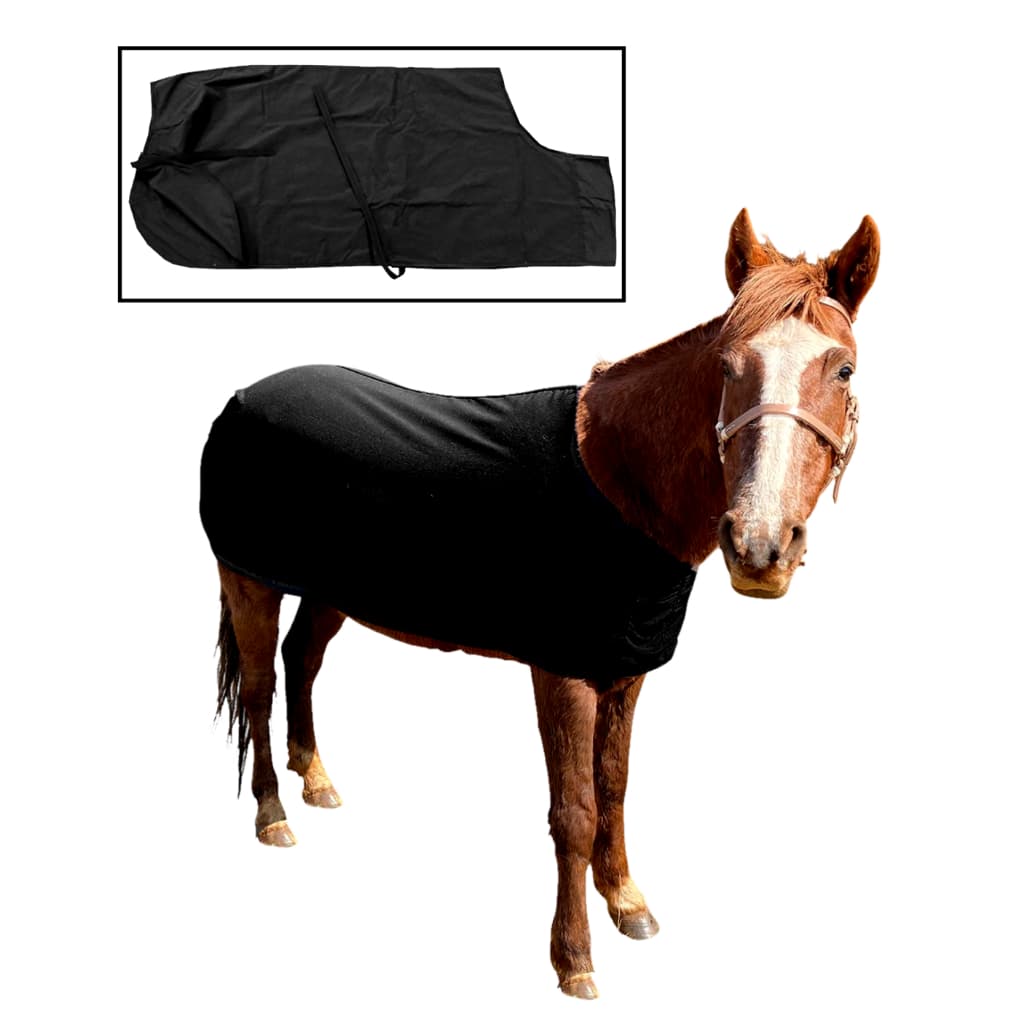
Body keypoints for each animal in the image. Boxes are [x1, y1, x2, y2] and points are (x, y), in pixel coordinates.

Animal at [204, 209, 880, 998]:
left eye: (844, 369)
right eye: (725, 366)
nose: (760, 547)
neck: (621, 483)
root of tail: (243, 397)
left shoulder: (624, 670)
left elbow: (615, 785)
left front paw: (628, 903)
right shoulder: (562, 672)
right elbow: (576, 811)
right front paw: (575, 958)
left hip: (331, 588)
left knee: (302, 662)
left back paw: (316, 778)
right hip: (249, 577)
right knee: (259, 685)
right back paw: (274, 813)